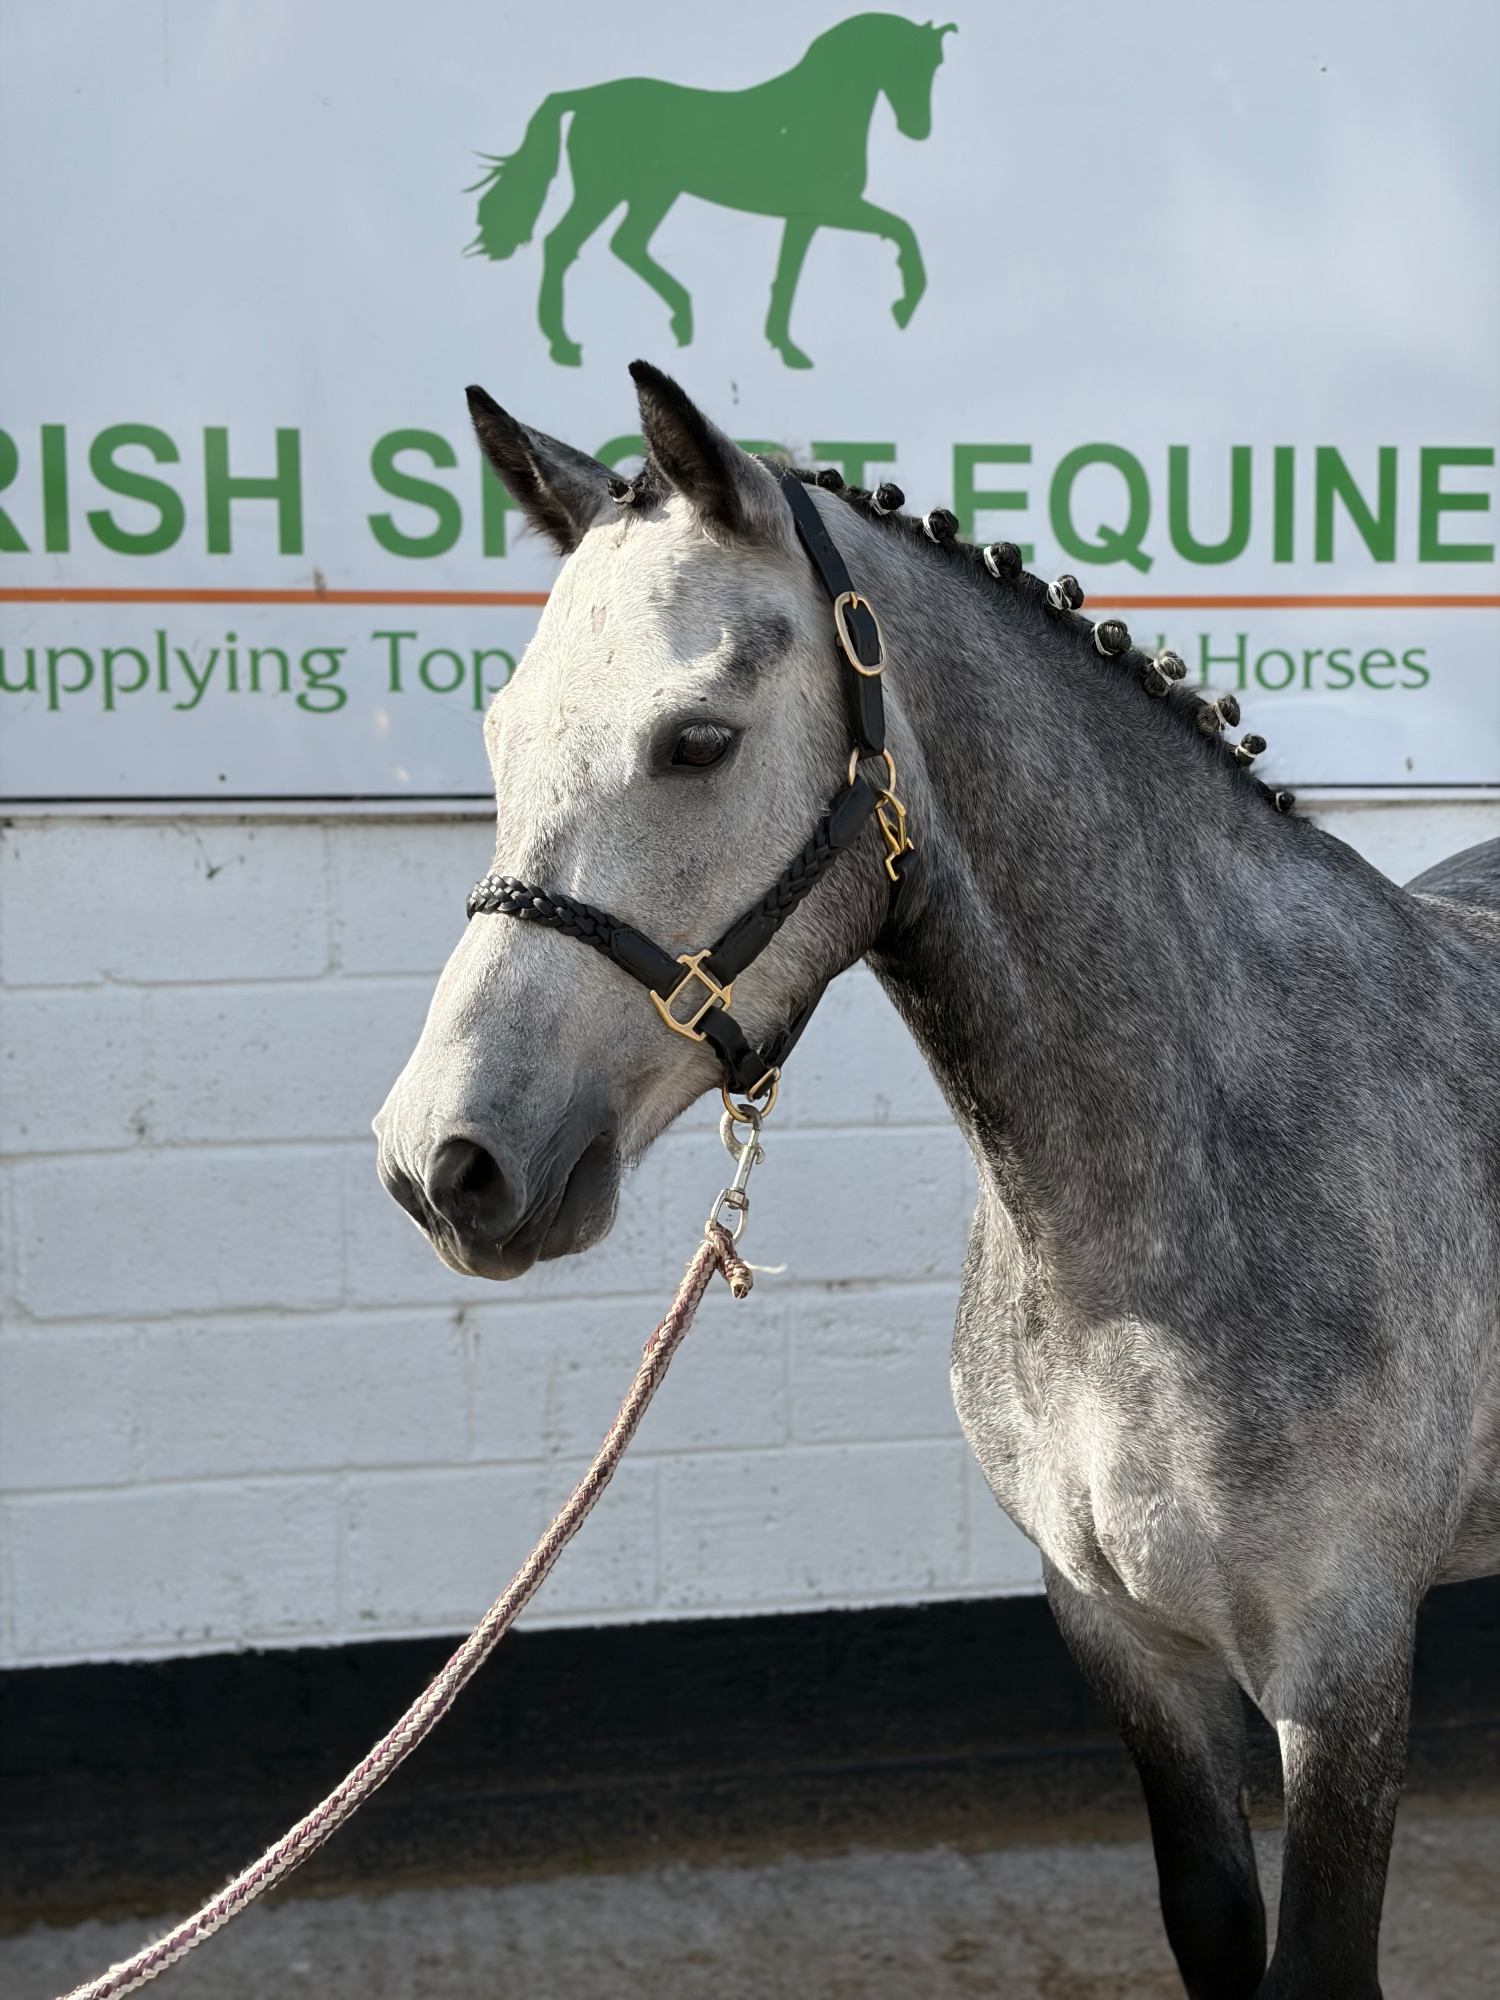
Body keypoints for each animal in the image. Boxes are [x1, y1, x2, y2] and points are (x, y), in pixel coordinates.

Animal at [467, 12, 953, 369]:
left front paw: (786, 346)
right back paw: (566, 345)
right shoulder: (829, 207)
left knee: (625, 244)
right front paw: (903, 306)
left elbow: (790, 275)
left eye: (935, 69)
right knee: (563, 244)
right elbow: (901, 231)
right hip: (606, 191)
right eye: (906, 60)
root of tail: (582, 97)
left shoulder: (805, 216)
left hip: (653, 193)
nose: (919, 129)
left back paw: (680, 318)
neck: (823, 106)